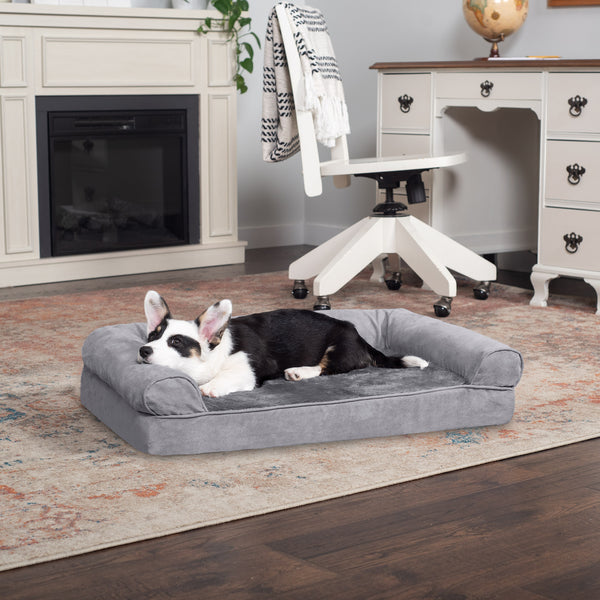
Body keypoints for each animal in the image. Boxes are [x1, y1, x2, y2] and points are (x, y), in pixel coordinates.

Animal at [137, 290, 426, 398]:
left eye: (176, 341)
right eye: (152, 337)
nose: (143, 350)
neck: (215, 353)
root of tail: (360, 337)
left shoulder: (250, 370)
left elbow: (224, 379)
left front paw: (210, 387)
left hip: (339, 345)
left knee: (326, 367)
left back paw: (299, 371)